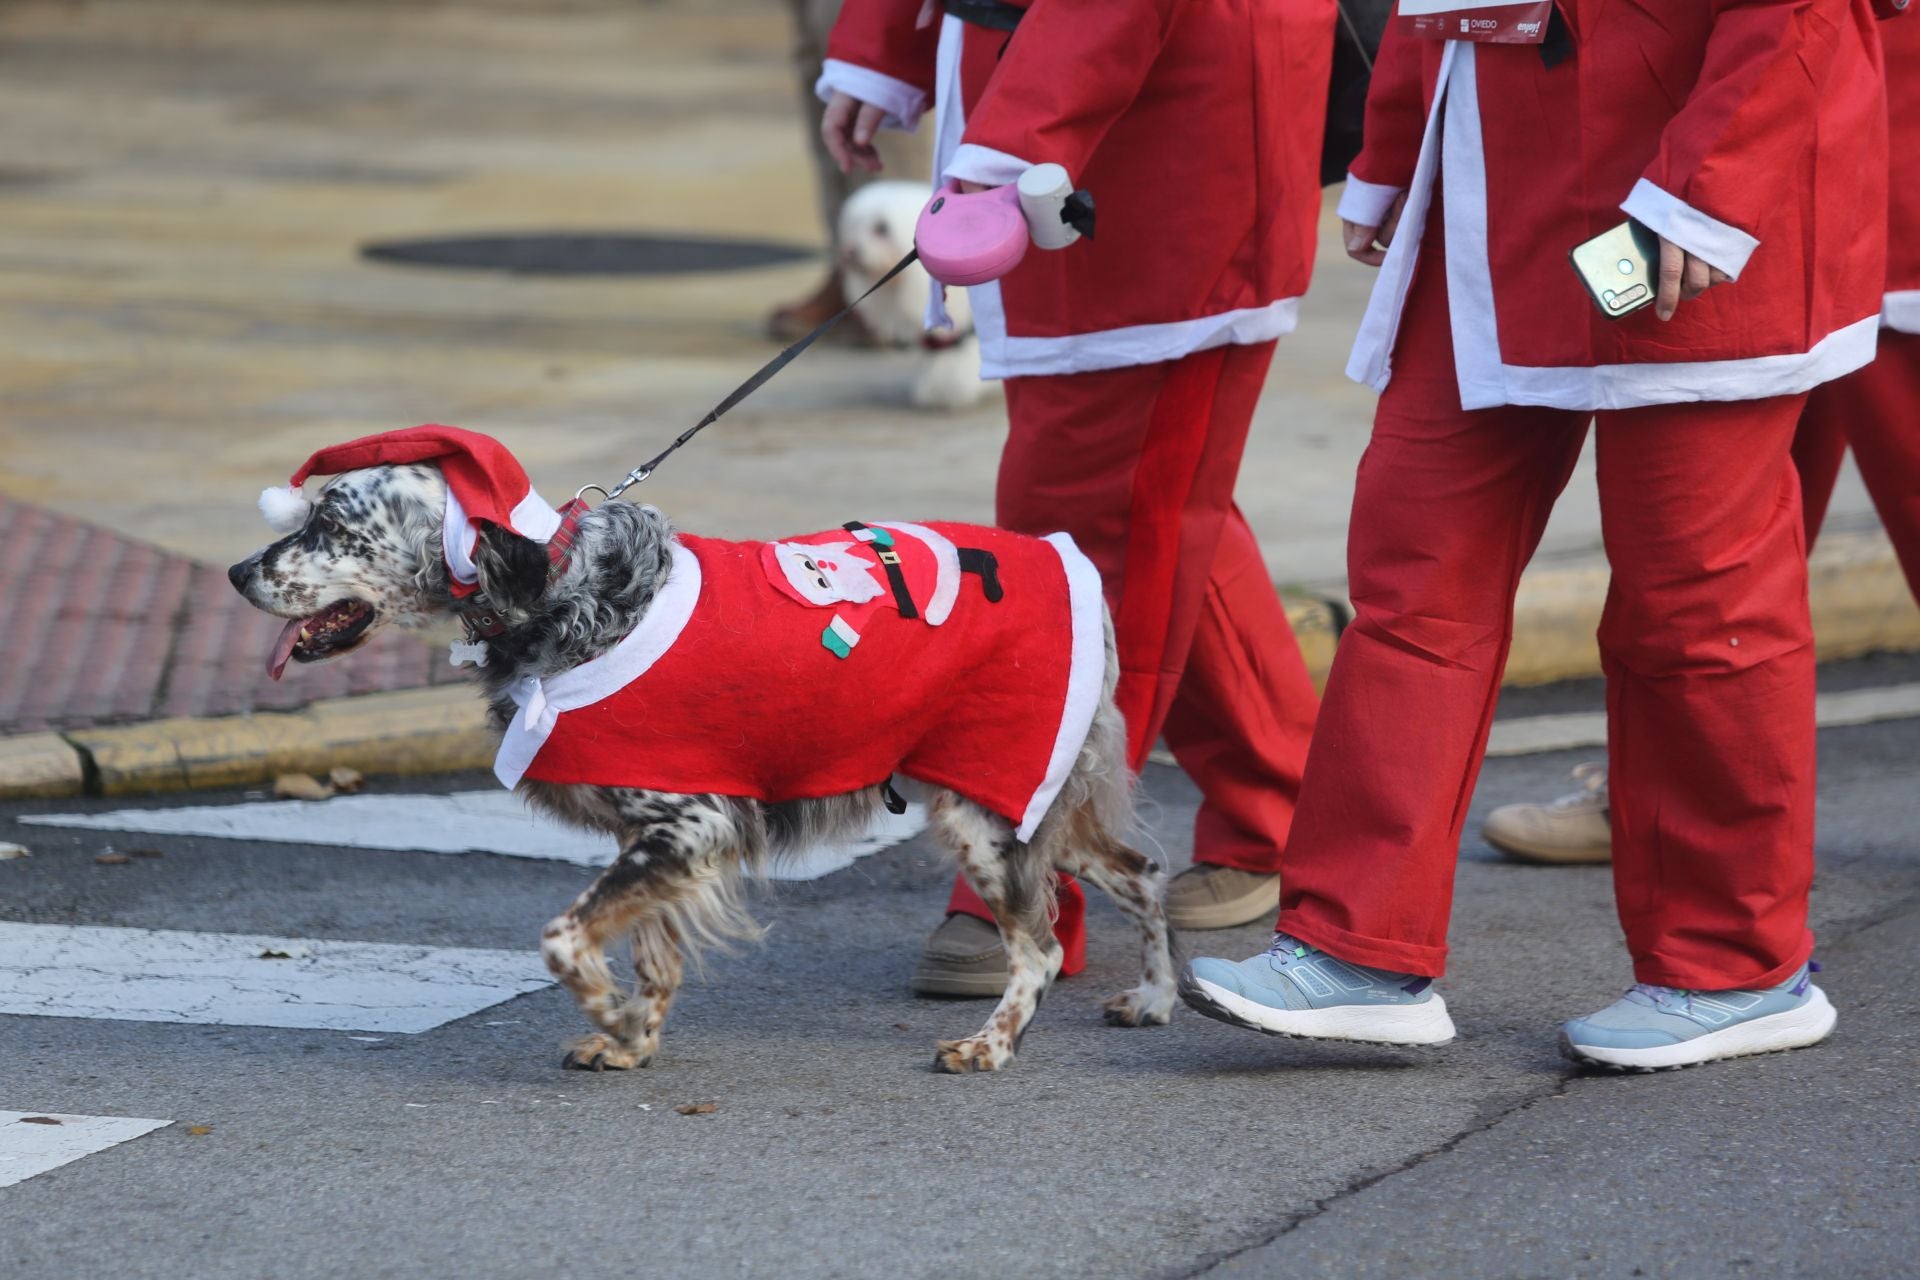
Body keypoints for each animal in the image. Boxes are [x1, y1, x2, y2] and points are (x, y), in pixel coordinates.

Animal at [840, 180, 990, 408]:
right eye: (855, 225)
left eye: (882, 229)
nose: (849, 251)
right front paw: (931, 390)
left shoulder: (963, 333)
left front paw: (953, 392)